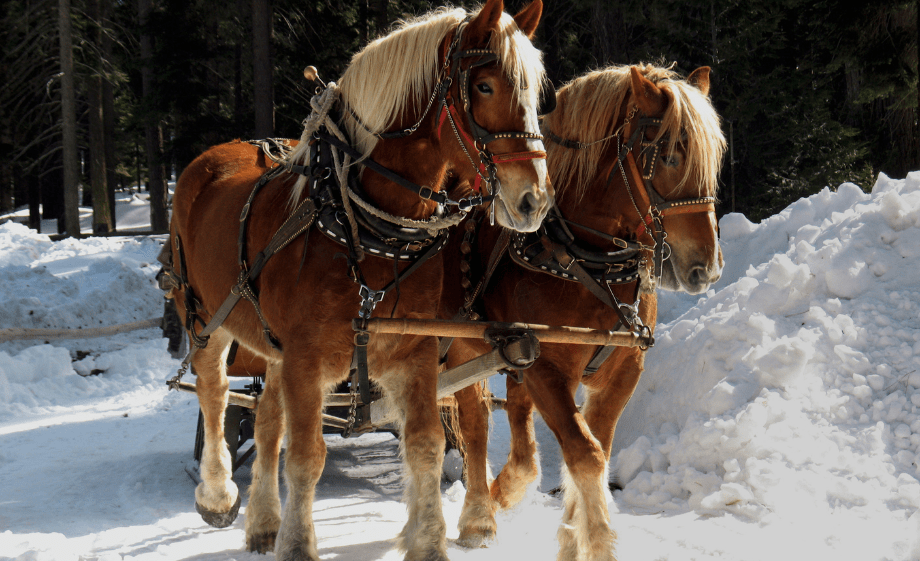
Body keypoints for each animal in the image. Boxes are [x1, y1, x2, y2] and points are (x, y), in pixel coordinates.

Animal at [163, 2, 552, 556]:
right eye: (484, 86)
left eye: (536, 91)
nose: (533, 200)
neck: (367, 231)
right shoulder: (307, 359)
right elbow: (306, 455)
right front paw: (298, 544)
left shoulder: (413, 352)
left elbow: (427, 444)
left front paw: (428, 543)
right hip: (203, 316)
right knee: (215, 391)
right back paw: (217, 494)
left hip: (270, 341)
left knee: (266, 419)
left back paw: (262, 521)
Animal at [442, 63, 728, 556]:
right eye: (670, 156)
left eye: (713, 161)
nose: (705, 268)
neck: (581, 261)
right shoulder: (547, 368)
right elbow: (586, 454)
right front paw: (596, 542)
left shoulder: (621, 370)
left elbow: (596, 450)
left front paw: (573, 537)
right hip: (465, 345)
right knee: (476, 421)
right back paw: (479, 515)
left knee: (516, 423)